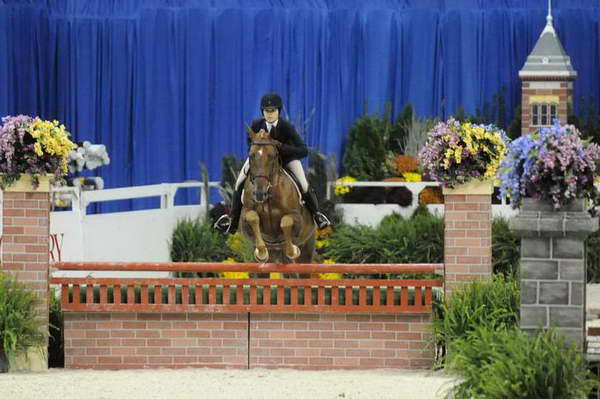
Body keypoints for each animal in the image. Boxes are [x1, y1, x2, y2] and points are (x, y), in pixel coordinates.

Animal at [238, 128, 316, 266]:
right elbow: (252, 217)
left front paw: (293, 250)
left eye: (272, 156)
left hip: (306, 249)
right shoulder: (245, 216)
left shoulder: (297, 218)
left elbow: (286, 222)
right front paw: (261, 253)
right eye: (251, 155)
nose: (259, 193)